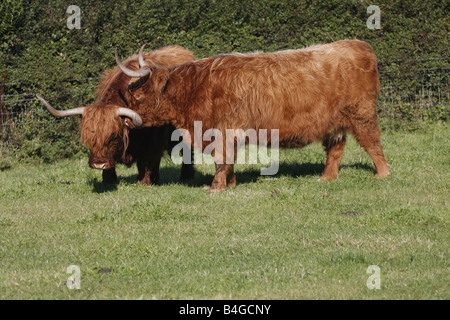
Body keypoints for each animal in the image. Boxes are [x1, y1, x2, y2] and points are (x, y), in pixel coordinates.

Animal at [37, 45, 195, 185]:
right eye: (89, 137)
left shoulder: (152, 142)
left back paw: (186, 177)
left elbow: (146, 161)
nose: (98, 164)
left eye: (113, 136)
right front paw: (108, 180)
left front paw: (143, 182)